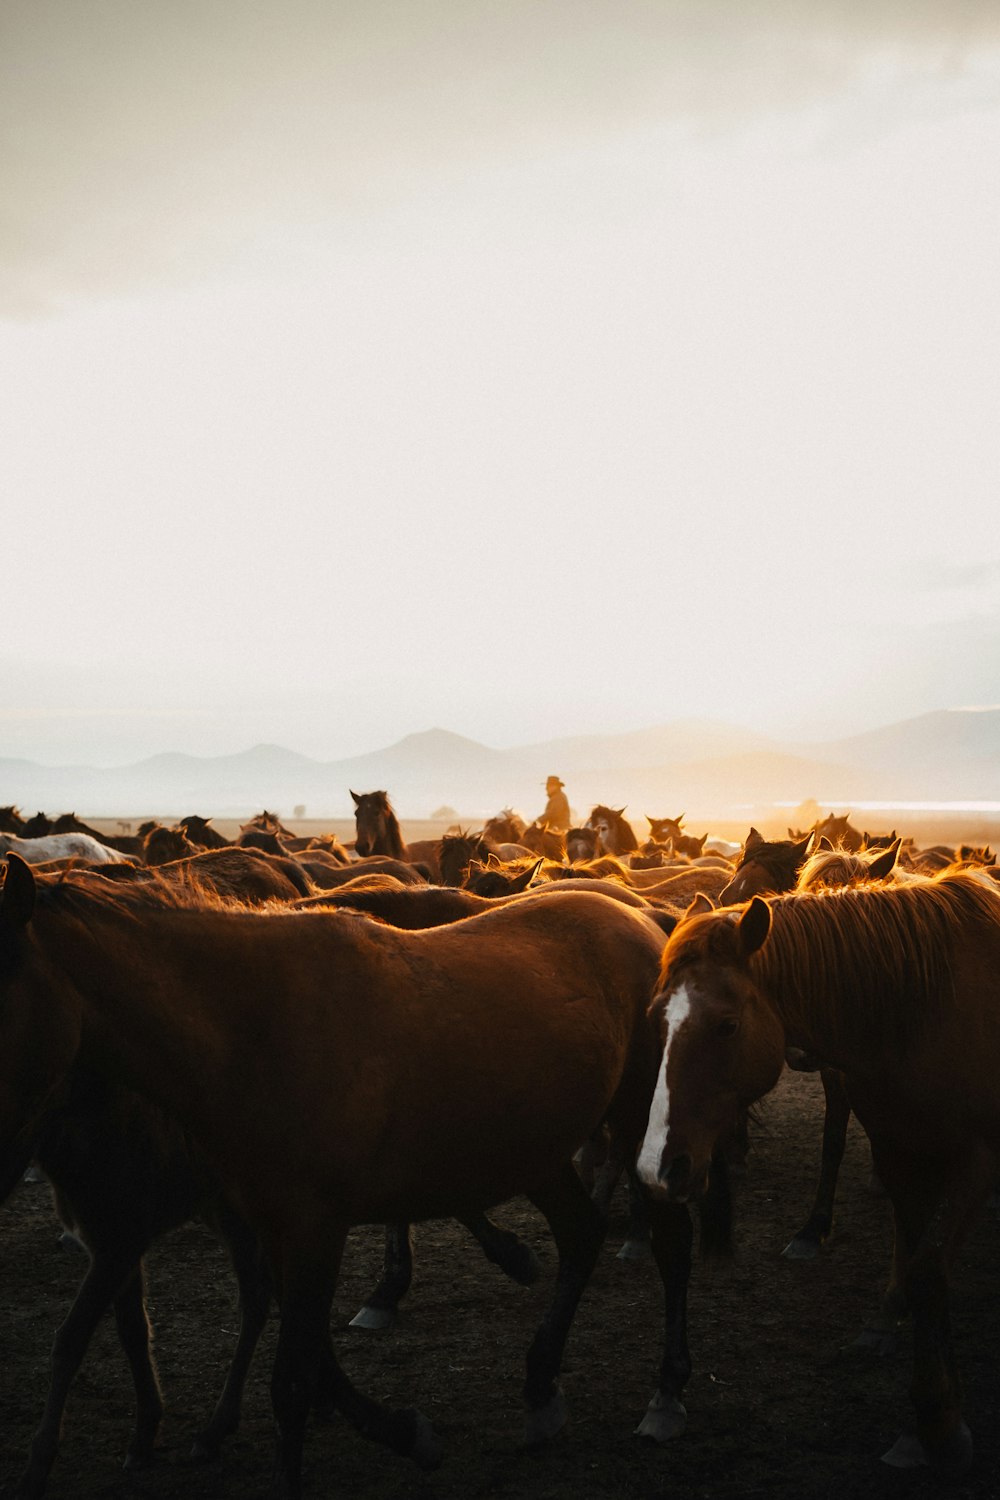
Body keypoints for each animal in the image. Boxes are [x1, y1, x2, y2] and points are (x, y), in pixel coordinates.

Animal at [0, 864, 704, 1494]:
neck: (252, 1029)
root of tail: (643, 922)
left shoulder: (315, 1229)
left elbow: (291, 1381)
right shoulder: (268, 1224)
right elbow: (309, 1356)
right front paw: (405, 1433)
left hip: (638, 1119)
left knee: (670, 1243)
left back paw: (666, 1397)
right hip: (536, 1152)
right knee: (580, 1235)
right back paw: (539, 1392)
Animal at [632, 876, 1000, 1470]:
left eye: (727, 1025)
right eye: (655, 1019)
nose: (657, 1167)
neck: (926, 1012)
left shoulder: (977, 1159)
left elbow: (929, 1270)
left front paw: (940, 1421)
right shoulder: (899, 1151)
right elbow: (916, 1257)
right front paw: (926, 1409)